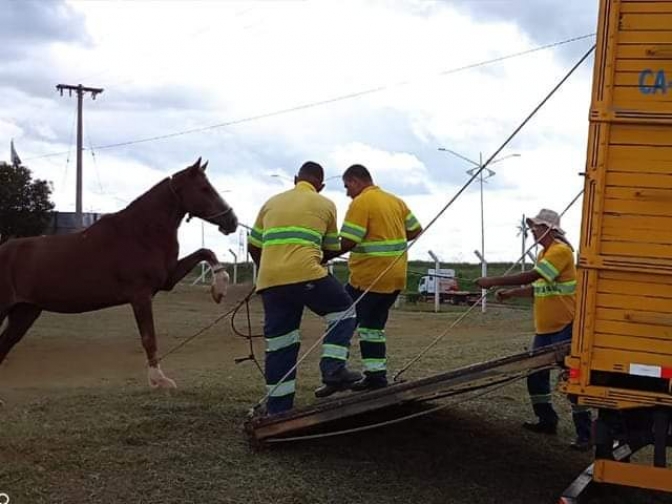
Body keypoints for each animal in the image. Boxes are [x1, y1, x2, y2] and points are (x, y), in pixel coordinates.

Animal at [0, 158, 239, 390]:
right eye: (204, 188)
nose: (232, 221)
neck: (141, 233)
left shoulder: (167, 280)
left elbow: (205, 251)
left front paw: (219, 289)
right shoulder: (141, 297)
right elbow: (148, 337)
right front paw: (159, 379)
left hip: (25, 312)